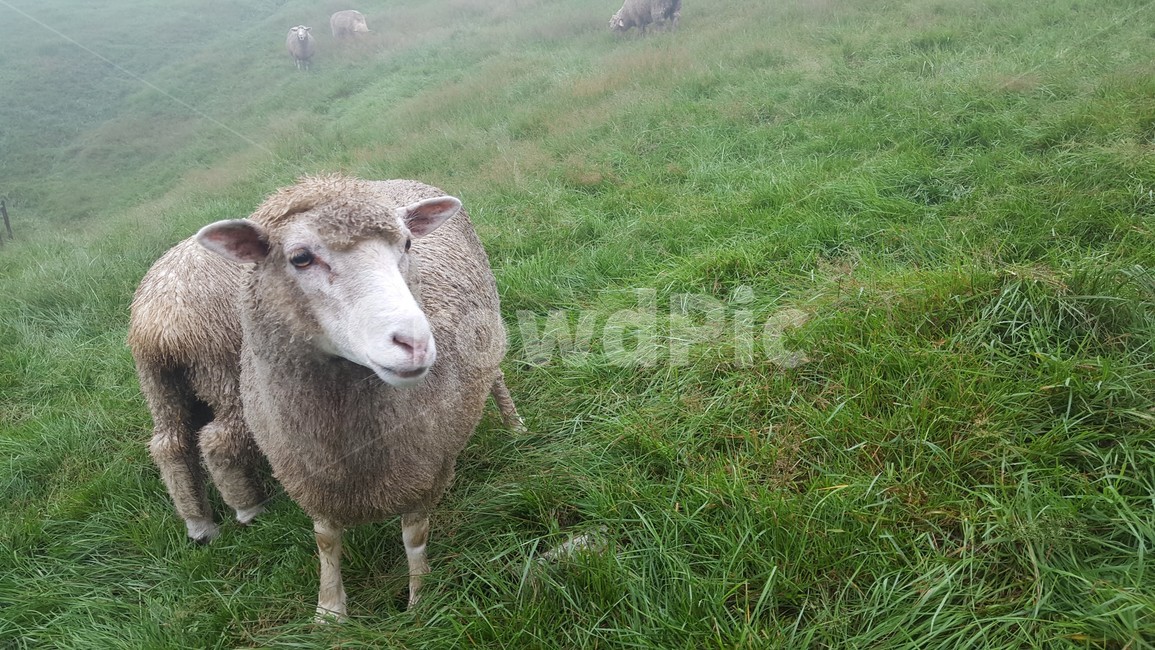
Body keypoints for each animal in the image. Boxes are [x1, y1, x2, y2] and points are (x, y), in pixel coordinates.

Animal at [128, 175, 525, 618]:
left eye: (407, 244)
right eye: (300, 258)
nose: (416, 343)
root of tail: (159, 327)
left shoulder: (428, 469)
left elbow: (414, 538)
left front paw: (421, 601)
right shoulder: (311, 478)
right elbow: (326, 541)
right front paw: (329, 610)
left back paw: (514, 426)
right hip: (173, 385)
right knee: (176, 443)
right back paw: (208, 523)